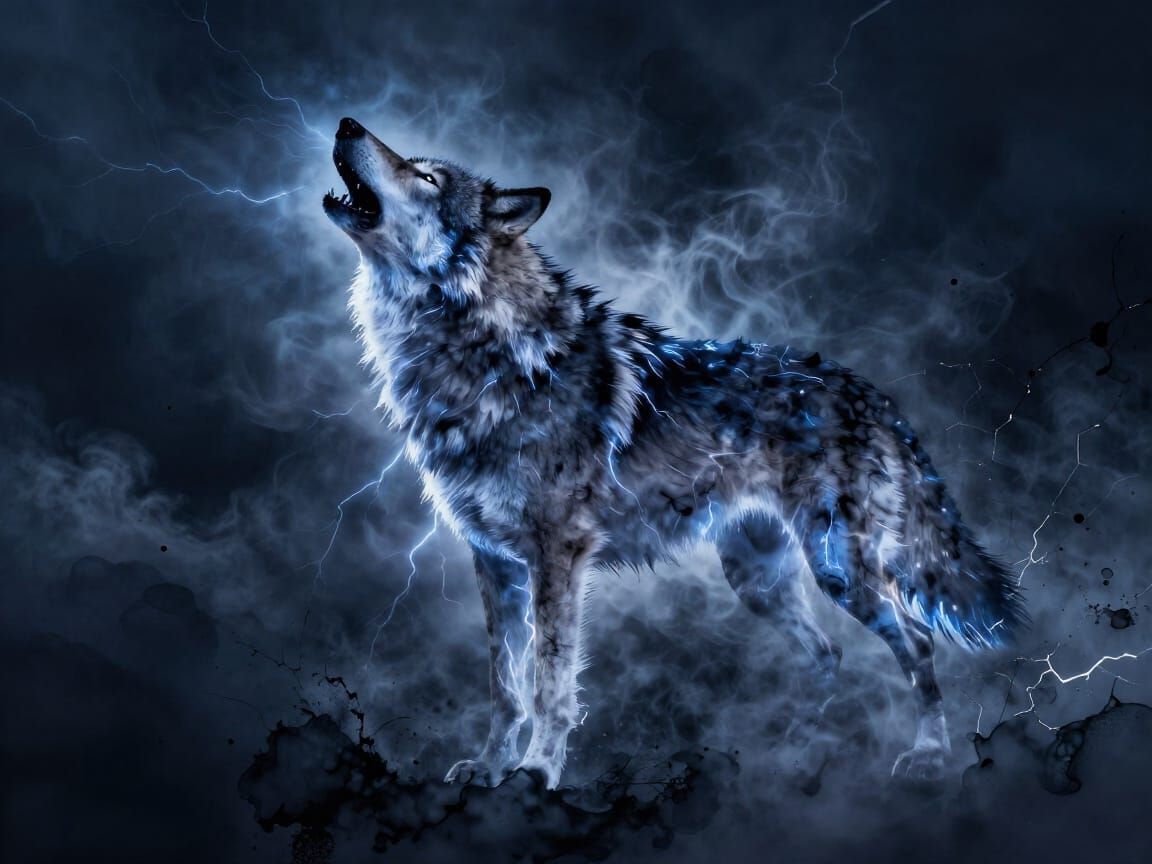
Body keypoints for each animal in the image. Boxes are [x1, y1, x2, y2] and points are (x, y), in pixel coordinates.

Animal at [323, 116, 1025, 789]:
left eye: (426, 178)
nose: (347, 124)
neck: (474, 348)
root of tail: (871, 393)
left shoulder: (558, 556)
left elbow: (550, 684)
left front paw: (537, 774)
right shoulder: (494, 562)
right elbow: (505, 690)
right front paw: (491, 769)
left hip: (837, 570)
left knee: (917, 641)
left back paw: (927, 755)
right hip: (757, 582)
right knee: (829, 654)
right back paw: (799, 744)